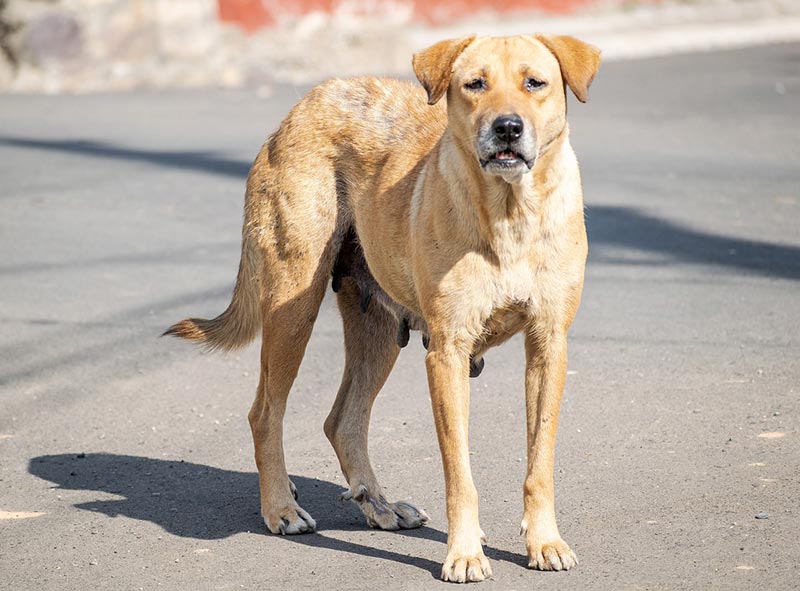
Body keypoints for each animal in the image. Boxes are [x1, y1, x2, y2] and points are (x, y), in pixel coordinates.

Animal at [167, 33, 600, 584]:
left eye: (535, 83)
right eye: (474, 84)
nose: (507, 127)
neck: (511, 213)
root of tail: (302, 106)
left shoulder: (548, 346)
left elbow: (539, 462)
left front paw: (544, 542)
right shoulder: (447, 353)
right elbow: (460, 473)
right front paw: (464, 554)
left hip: (375, 331)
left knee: (343, 421)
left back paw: (380, 506)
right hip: (293, 308)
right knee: (265, 412)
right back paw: (281, 508)